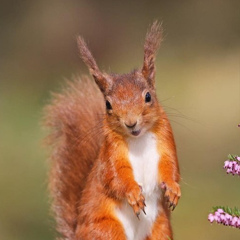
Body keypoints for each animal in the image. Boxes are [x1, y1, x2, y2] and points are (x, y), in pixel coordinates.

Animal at [44, 21, 180, 239]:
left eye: (148, 96)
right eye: (108, 104)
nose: (131, 123)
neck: (138, 140)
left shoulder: (165, 141)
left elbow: (171, 166)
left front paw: (173, 190)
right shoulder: (111, 154)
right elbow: (115, 177)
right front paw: (134, 194)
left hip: (160, 228)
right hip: (107, 230)